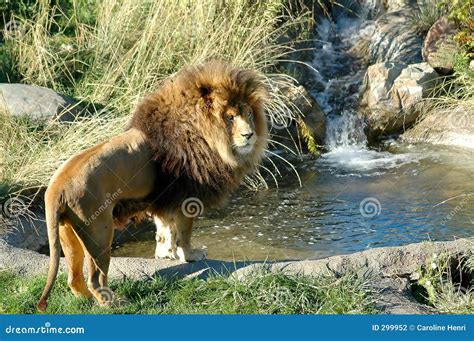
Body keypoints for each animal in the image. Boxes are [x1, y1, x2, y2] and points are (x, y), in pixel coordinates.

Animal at [37, 61, 268, 310]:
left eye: (249, 114)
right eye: (230, 117)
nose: (249, 134)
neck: (207, 137)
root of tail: (56, 187)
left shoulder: (165, 199)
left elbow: (165, 229)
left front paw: (165, 253)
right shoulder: (186, 198)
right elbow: (184, 233)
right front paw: (191, 255)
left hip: (68, 233)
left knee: (74, 278)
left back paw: (88, 301)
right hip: (99, 231)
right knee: (95, 278)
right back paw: (114, 303)